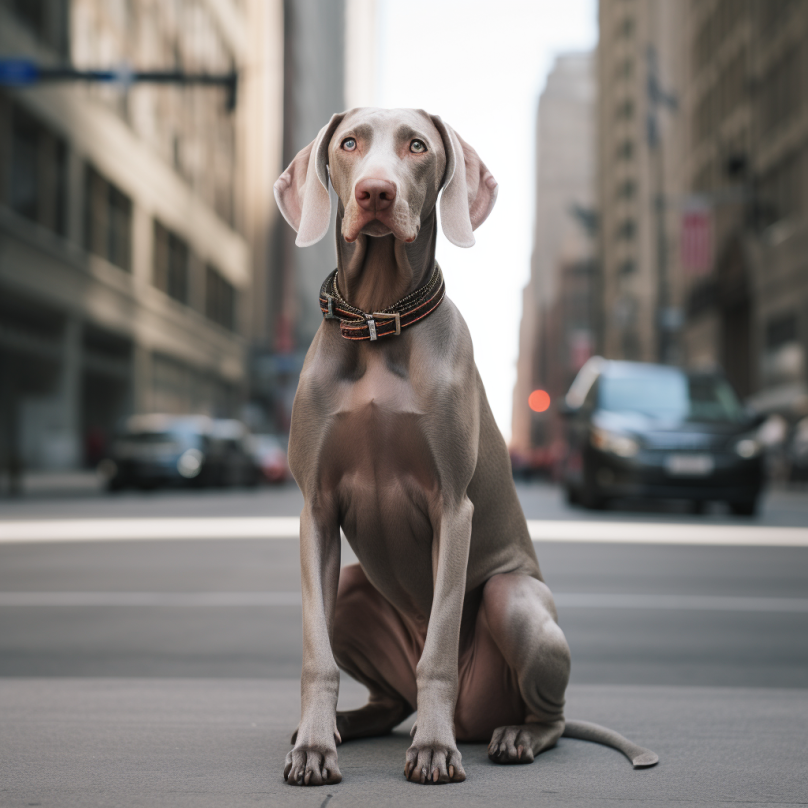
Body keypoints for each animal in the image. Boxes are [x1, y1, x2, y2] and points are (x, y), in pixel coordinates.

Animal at [274, 107, 660, 784]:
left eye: (417, 146)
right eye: (348, 143)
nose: (376, 193)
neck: (378, 324)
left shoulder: (452, 507)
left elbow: (440, 651)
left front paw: (433, 749)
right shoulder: (316, 509)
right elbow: (316, 653)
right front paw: (315, 747)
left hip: (517, 600)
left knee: (547, 714)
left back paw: (509, 736)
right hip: (354, 589)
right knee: (390, 696)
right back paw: (352, 724)